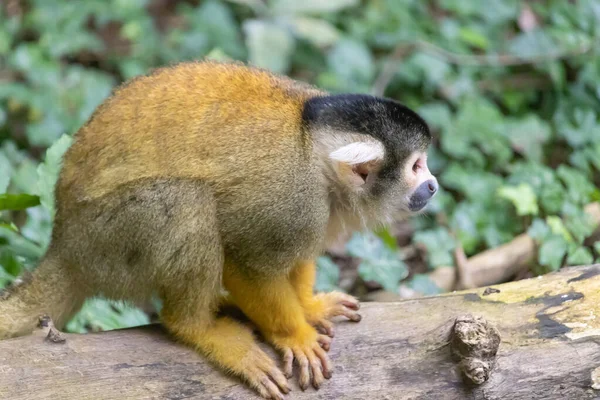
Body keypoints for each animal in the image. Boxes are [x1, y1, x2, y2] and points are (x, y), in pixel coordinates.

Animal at [0, 61, 436, 398]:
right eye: (416, 166)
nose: (433, 185)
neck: (317, 156)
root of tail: (62, 244)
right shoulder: (290, 195)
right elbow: (246, 260)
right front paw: (294, 334)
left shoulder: (313, 212)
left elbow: (295, 258)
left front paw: (309, 307)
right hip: (103, 242)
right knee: (188, 201)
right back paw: (199, 327)